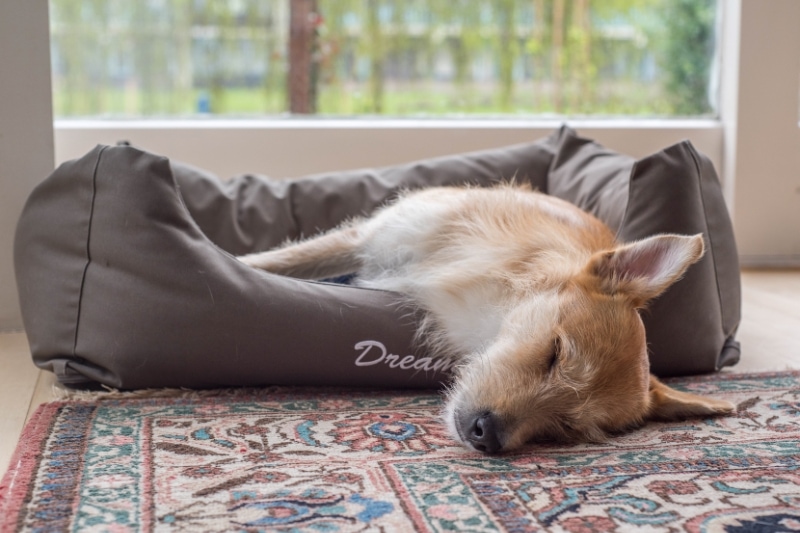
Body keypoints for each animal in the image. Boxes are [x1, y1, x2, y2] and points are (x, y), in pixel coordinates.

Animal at [239, 185, 736, 450]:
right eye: (555, 353)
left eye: (566, 428)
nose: (487, 434)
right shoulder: (370, 239)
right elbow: (274, 262)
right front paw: (234, 264)